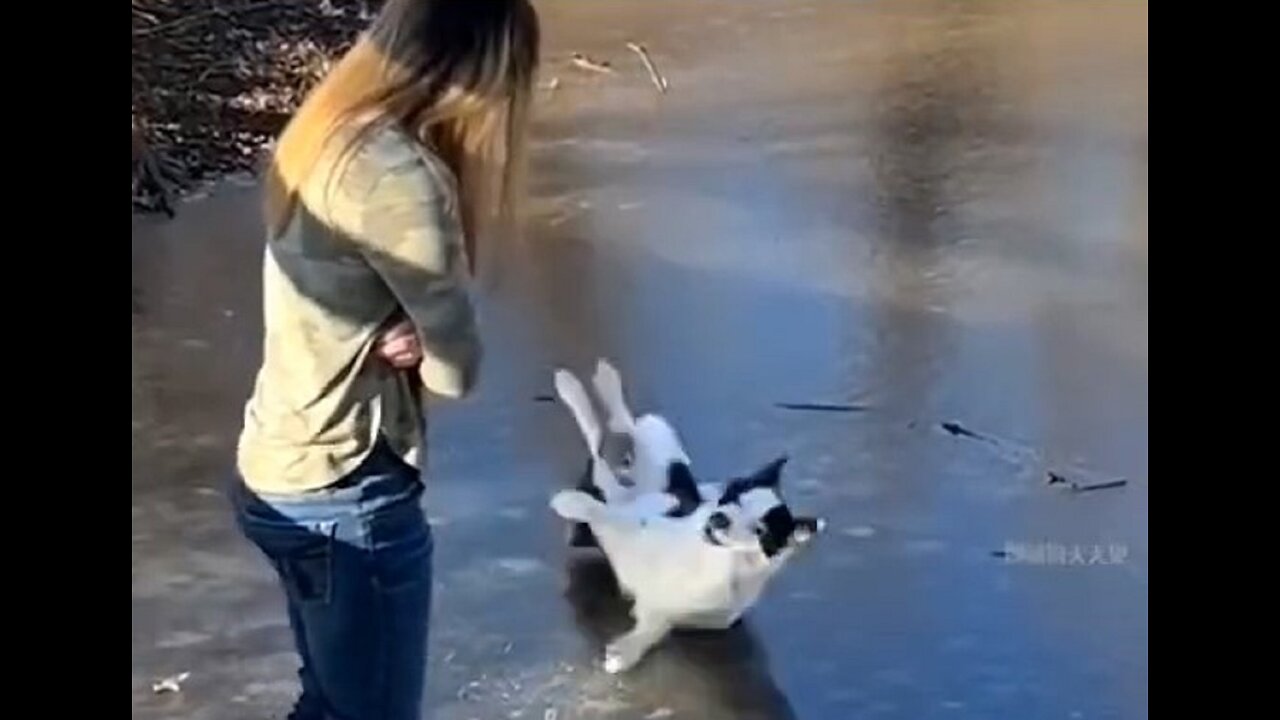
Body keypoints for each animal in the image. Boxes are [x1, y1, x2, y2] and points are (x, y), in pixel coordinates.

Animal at [547, 358, 819, 671]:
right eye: (732, 498)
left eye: (760, 530)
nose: (718, 518)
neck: (714, 562)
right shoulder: (636, 519)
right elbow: (609, 510)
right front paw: (573, 502)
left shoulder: (660, 609)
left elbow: (653, 628)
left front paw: (624, 652)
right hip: (662, 446)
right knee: (619, 426)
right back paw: (590, 382)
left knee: (600, 443)